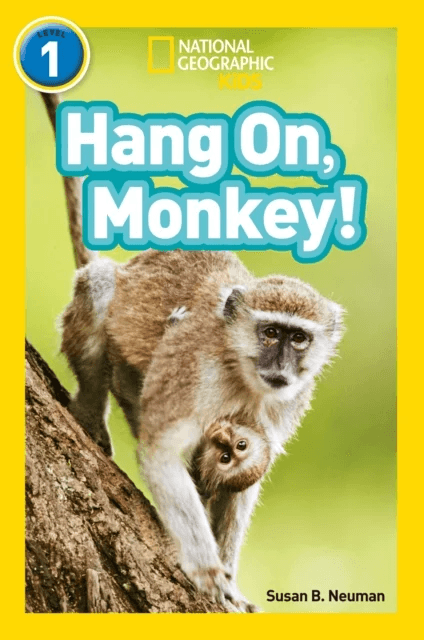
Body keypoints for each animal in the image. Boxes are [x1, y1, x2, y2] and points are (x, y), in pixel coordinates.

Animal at [42, 92, 345, 612]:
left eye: (299, 339)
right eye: (271, 333)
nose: (281, 366)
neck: (242, 374)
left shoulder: (286, 404)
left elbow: (247, 482)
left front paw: (231, 580)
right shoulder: (194, 371)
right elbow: (163, 451)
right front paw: (207, 569)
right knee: (100, 284)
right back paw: (90, 409)